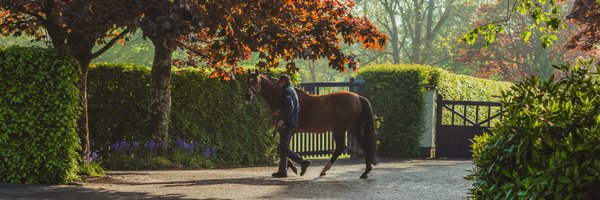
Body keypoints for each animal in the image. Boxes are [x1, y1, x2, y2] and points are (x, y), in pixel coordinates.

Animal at [243, 69, 376, 179]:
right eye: (247, 81)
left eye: (256, 81)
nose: (247, 96)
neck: (281, 97)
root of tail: (357, 97)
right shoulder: (285, 131)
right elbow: (283, 149)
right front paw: (288, 169)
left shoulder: (285, 130)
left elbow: (282, 149)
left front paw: (293, 168)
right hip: (354, 128)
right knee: (364, 145)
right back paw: (365, 172)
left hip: (340, 128)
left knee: (340, 147)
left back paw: (324, 169)